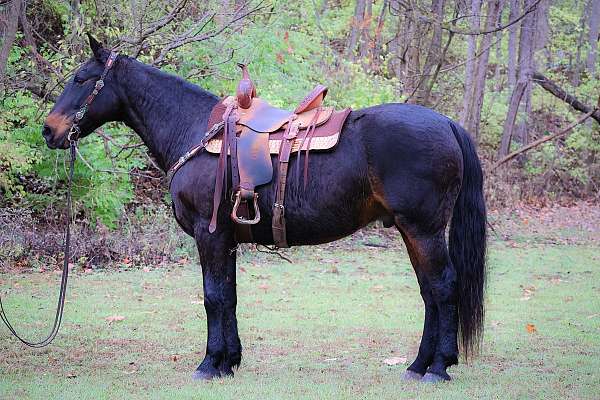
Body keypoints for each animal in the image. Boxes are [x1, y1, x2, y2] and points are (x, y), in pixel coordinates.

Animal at [44, 38, 488, 384]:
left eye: (81, 79)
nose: (49, 130)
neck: (194, 129)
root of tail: (447, 124)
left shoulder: (209, 235)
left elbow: (212, 296)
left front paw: (209, 364)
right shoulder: (226, 239)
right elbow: (228, 296)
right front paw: (228, 362)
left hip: (423, 230)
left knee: (443, 288)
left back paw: (437, 369)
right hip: (411, 231)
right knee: (430, 293)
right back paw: (418, 365)